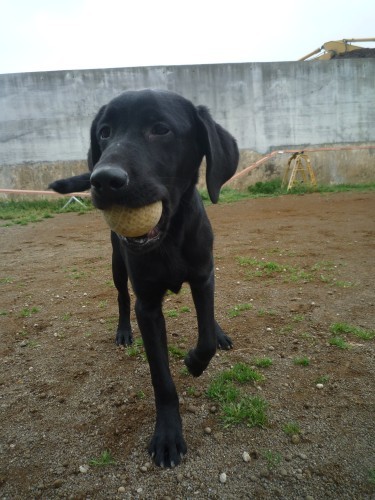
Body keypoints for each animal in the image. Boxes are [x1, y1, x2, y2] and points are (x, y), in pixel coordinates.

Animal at [50, 90, 239, 468]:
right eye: (104, 132)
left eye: (161, 129)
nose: (103, 179)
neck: (168, 238)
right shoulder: (147, 306)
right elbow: (161, 379)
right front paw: (167, 436)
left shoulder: (203, 276)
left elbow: (206, 336)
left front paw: (196, 360)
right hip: (116, 265)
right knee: (122, 297)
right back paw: (123, 332)